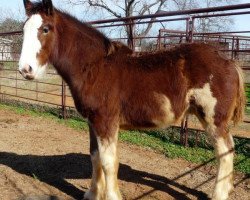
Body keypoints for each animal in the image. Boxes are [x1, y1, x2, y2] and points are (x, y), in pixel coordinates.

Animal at [19, 0, 244, 200]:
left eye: (45, 29)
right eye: (24, 29)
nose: (25, 70)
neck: (95, 67)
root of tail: (229, 61)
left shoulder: (106, 122)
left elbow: (109, 162)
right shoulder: (93, 122)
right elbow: (95, 157)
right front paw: (92, 194)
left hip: (213, 119)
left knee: (225, 152)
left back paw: (219, 195)